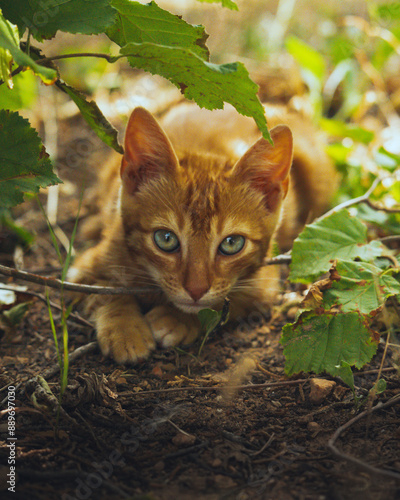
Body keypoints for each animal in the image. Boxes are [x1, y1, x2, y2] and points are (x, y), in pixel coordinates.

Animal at [69, 104, 338, 364]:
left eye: (232, 243)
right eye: (166, 239)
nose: (196, 290)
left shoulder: (264, 284)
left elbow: (222, 304)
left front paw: (175, 318)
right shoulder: (82, 269)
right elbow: (103, 292)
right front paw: (125, 329)